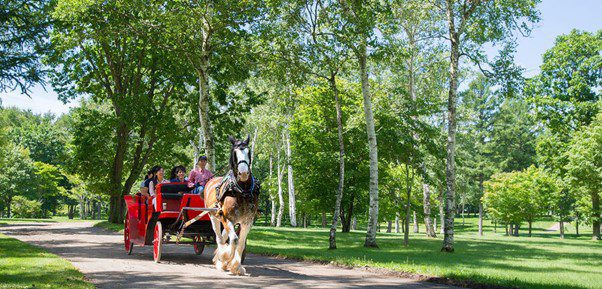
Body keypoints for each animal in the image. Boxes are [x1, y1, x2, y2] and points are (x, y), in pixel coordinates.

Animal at [204, 135, 258, 274]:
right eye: (235, 153)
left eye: (248, 152)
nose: (243, 173)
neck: (242, 191)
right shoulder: (226, 217)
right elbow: (234, 239)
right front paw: (225, 259)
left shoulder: (247, 221)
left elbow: (241, 243)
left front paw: (237, 266)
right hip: (214, 216)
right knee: (219, 238)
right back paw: (221, 260)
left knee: (224, 237)